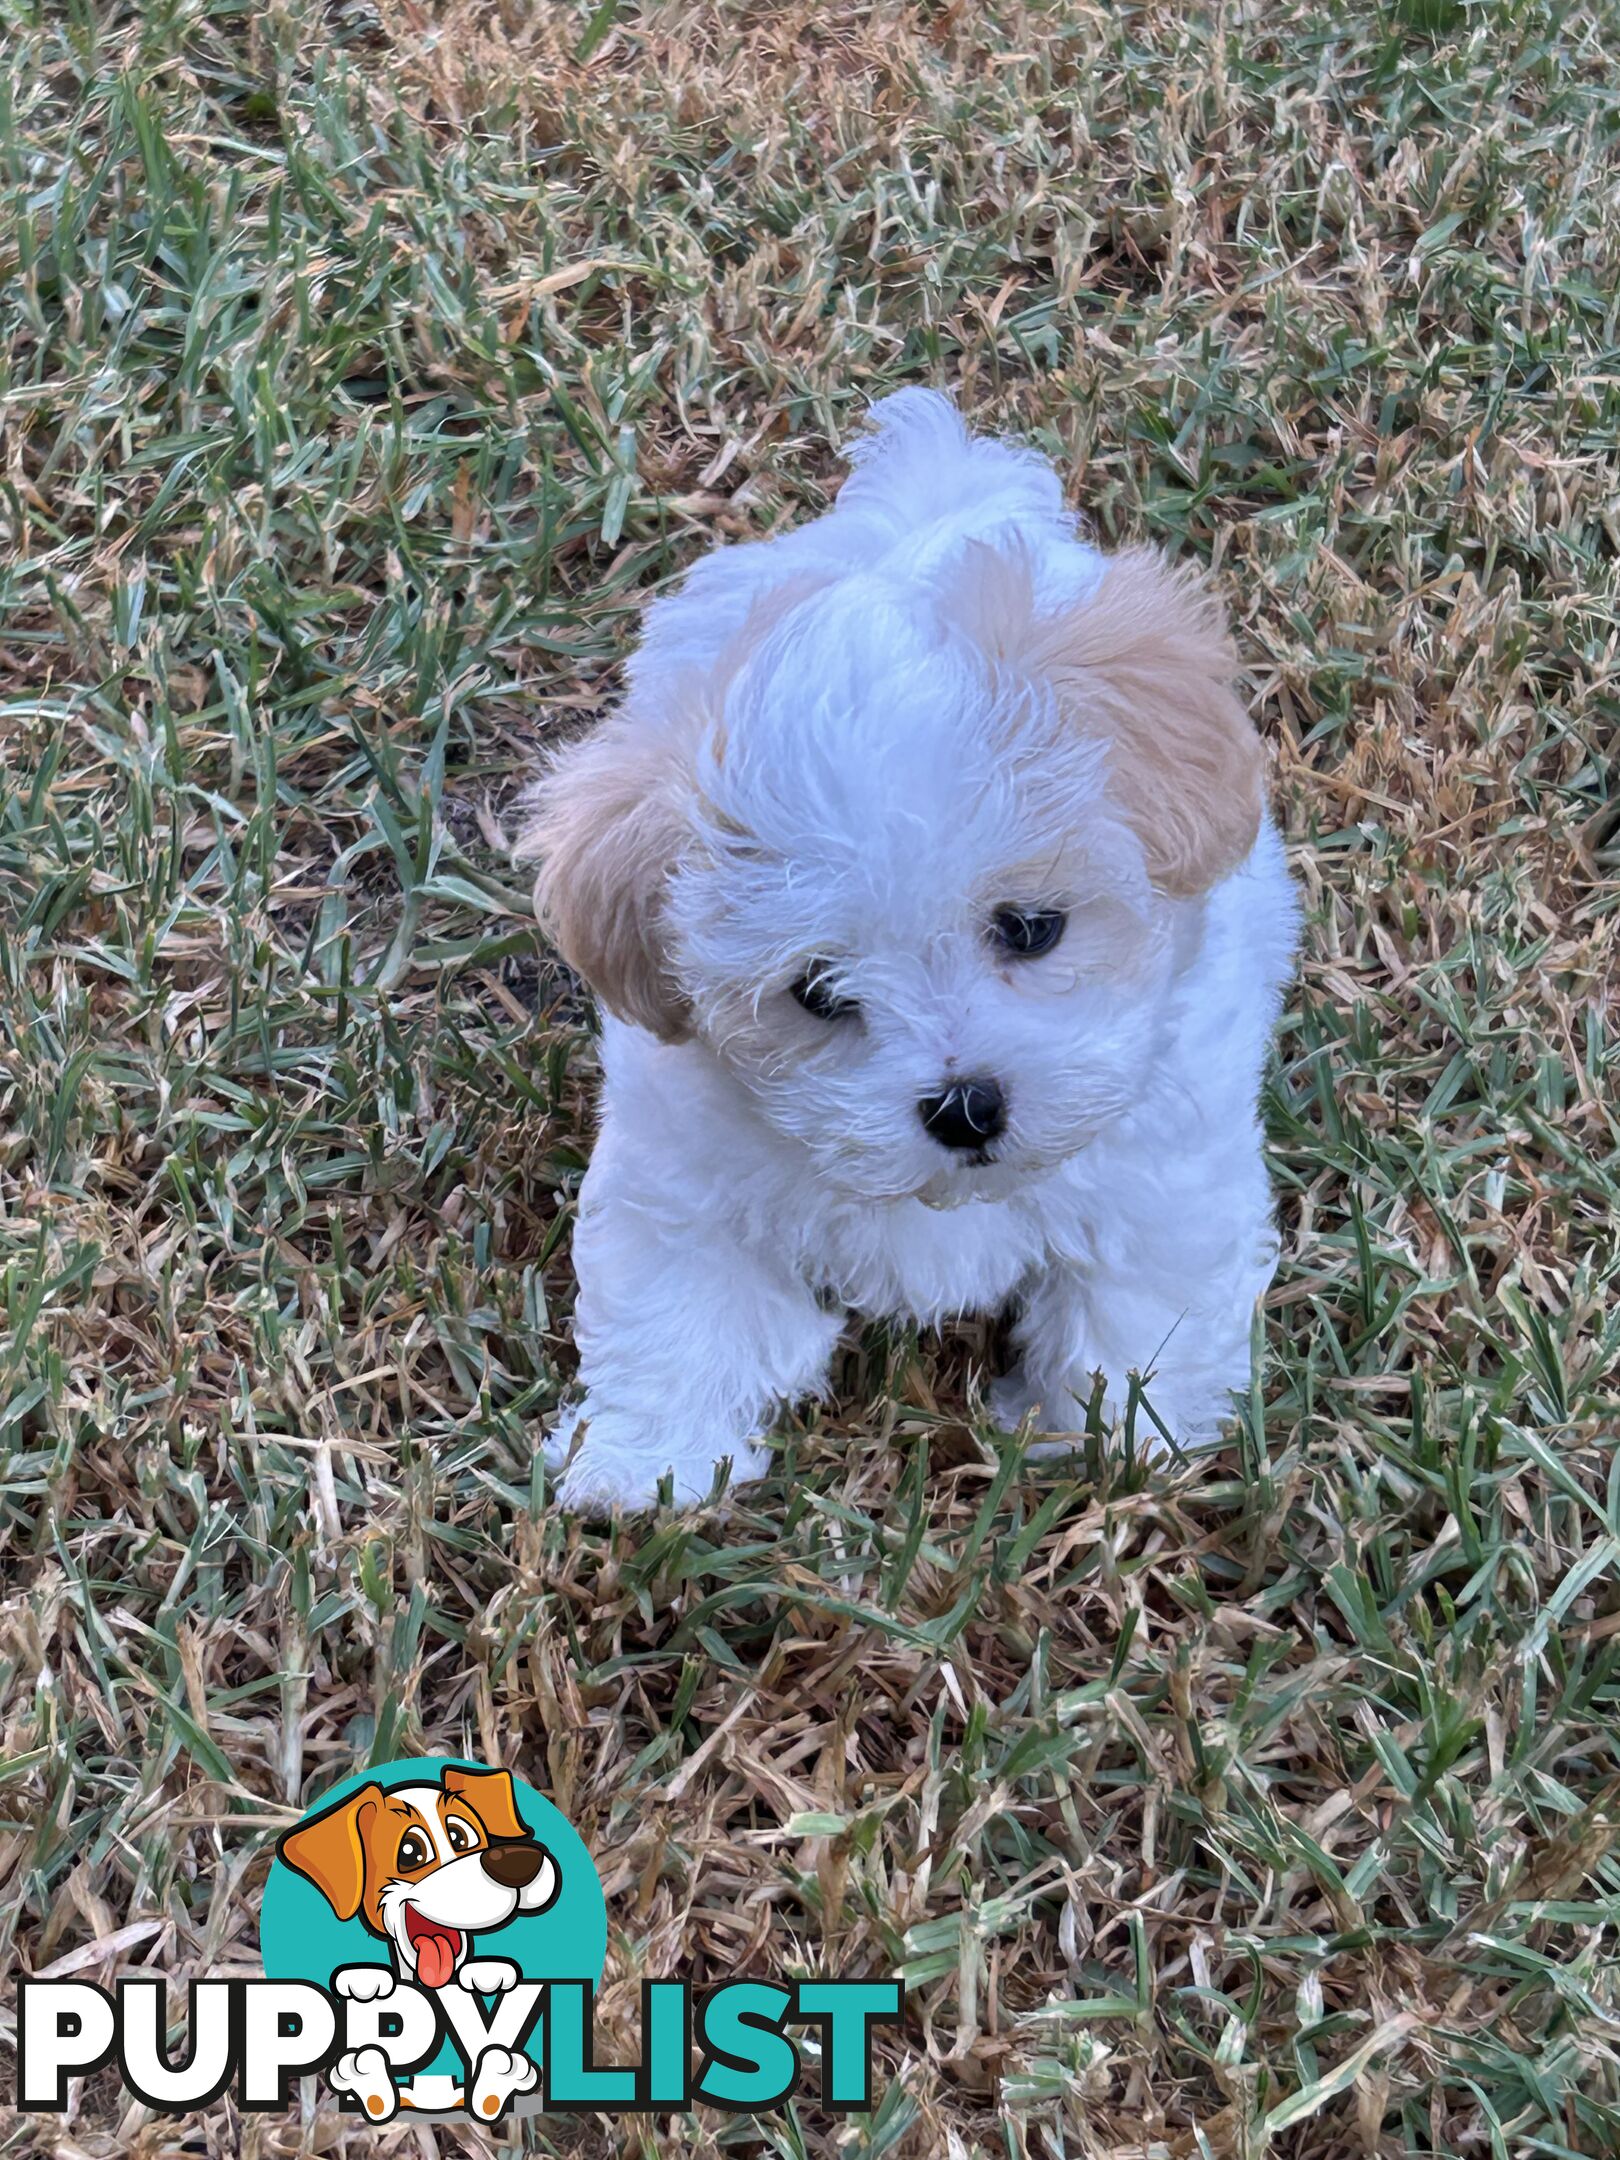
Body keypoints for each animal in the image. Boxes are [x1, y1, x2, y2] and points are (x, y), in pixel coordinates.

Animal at [527, 393, 1304, 1503]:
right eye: (816, 991)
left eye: (1030, 928)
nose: (967, 1106)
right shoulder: (680, 1181)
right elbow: (678, 1309)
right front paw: (650, 1467)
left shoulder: (1162, 1180)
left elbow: (1138, 1310)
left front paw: (1119, 1448)